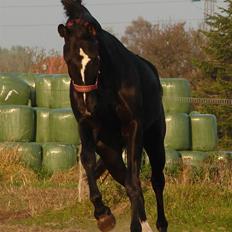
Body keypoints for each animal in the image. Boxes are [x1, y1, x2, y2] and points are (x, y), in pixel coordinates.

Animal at [57, 0, 167, 231]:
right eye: (68, 60)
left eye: (95, 59)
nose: (86, 105)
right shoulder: (86, 126)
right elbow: (88, 162)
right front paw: (103, 214)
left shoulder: (133, 127)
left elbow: (135, 181)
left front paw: (137, 225)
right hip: (110, 152)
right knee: (125, 178)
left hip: (154, 140)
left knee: (155, 180)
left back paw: (158, 224)